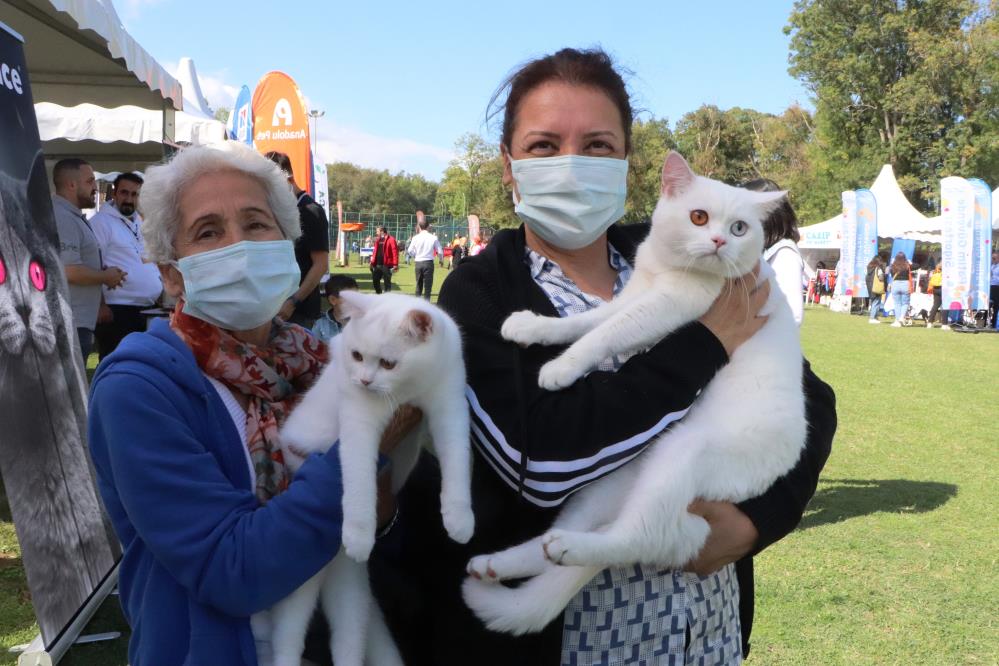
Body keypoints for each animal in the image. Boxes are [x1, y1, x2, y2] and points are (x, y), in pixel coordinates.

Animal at [460, 152, 804, 632]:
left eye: (740, 228)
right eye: (699, 217)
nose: (719, 241)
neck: (666, 269)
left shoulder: (666, 307)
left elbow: (606, 333)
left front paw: (561, 368)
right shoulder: (633, 297)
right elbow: (588, 321)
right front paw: (533, 328)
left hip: (684, 453)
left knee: (640, 535)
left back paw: (570, 547)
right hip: (610, 483)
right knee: (568, 537)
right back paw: (500, 563)